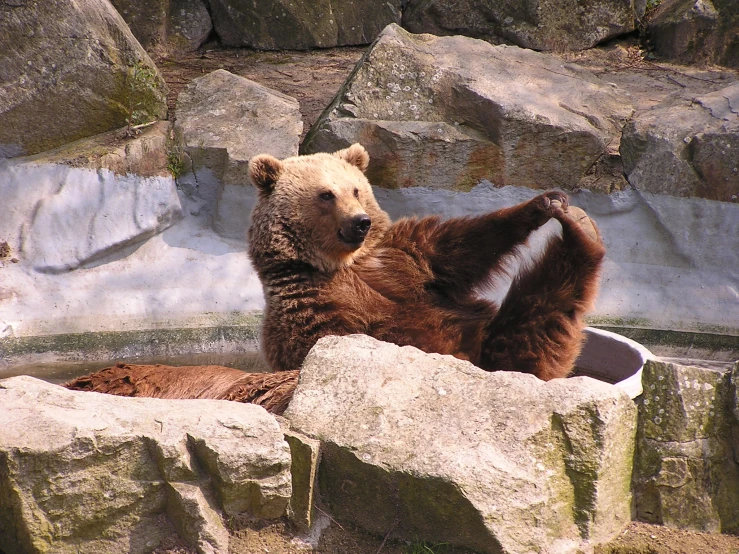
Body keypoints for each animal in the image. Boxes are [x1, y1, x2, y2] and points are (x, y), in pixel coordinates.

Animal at [249, 142, 608, 380]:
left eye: (355, 190)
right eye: (326, 194)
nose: (360, 222)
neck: (342, 263)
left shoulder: (403, 257)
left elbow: (463, 245)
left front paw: (542, 202)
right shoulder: (313, 303)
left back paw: (581, 228)